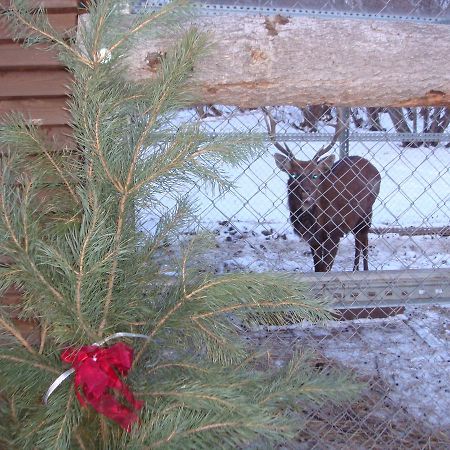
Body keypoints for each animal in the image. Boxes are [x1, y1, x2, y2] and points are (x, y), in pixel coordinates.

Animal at [264, 107, 380, 272]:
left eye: (315, 175)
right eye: (293, 174)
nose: (306, 193)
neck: (316, 223)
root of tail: (372, 166)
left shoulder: (334, 234)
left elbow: (325, 269)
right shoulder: (313, 240)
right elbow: (318, 268)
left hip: (367, 212)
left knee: (363, 242)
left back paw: (363, 270)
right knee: (359, 243)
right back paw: (355, 270)